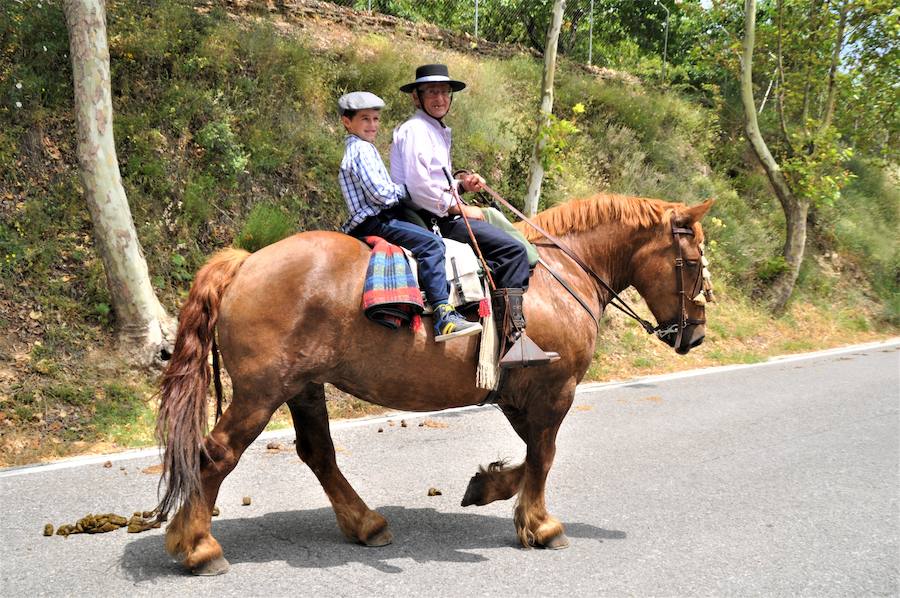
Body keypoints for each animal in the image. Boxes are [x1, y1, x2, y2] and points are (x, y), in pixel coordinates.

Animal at [158, 193, 712, 576]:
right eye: (693, 262)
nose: (696, 334)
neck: (556, 278)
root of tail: (245, 262)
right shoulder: (555, 389)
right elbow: (543, 456)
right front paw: (541, 525)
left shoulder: (517, 394)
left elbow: (530, 455)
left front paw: (487, 486)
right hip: (262, 392)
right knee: (217, 455)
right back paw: (200, 547)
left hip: (303, 387)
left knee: (318, 454)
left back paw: (366, 524)